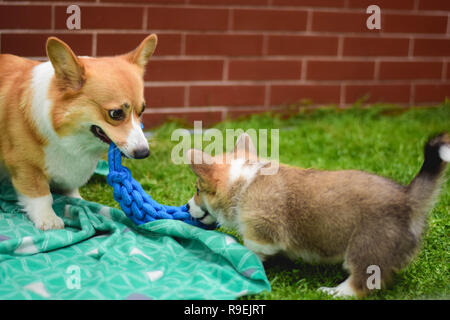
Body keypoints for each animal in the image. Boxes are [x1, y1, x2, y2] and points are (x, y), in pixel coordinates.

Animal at [0, 34, 158, 230]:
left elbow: (71, 191)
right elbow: (41, 195)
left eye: (142, 110)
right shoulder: (24, 164)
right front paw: (49, 219)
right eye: (115, 113)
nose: (144, 153)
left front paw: (78, 201)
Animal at [185, 132, 448, 298]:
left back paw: (334, 292)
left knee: (361, 283)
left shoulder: (261, 234)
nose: (187, 208)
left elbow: (251, 250)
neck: (242, 184)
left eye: (198, 190)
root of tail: (408, 199)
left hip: (365, 247)